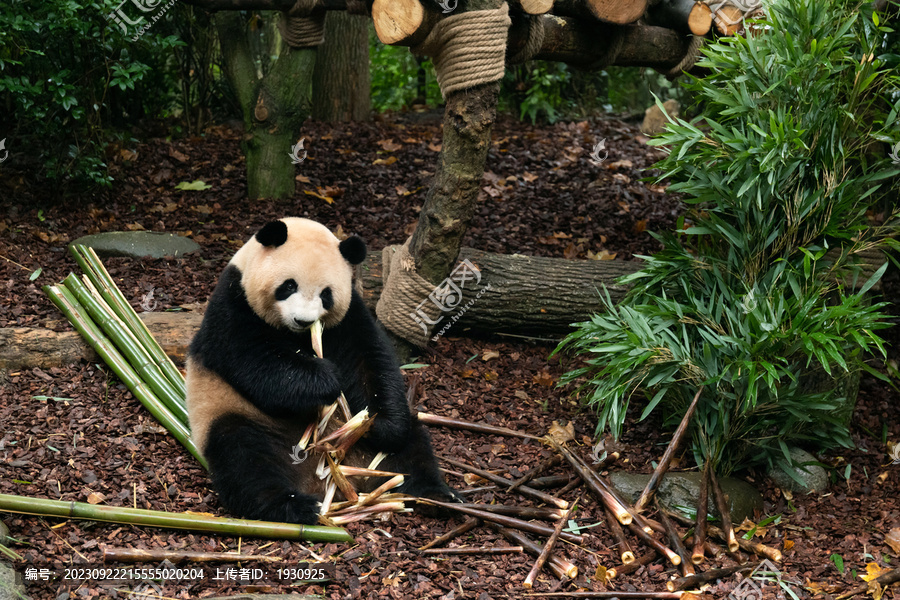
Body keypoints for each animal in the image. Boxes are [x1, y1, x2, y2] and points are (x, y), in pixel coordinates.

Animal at [188, 218, 458, 524]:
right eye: (288, 285)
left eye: (326, 294)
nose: (303, 320)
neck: (295, 335)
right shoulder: (233, 306)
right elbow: (256, 361)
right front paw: (325, 380)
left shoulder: (350, 316)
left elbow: (369, 362)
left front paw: (379, 424)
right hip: (237, 416)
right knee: (244, 460)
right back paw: (293, 506)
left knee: (413, 447)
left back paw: (436, 496)